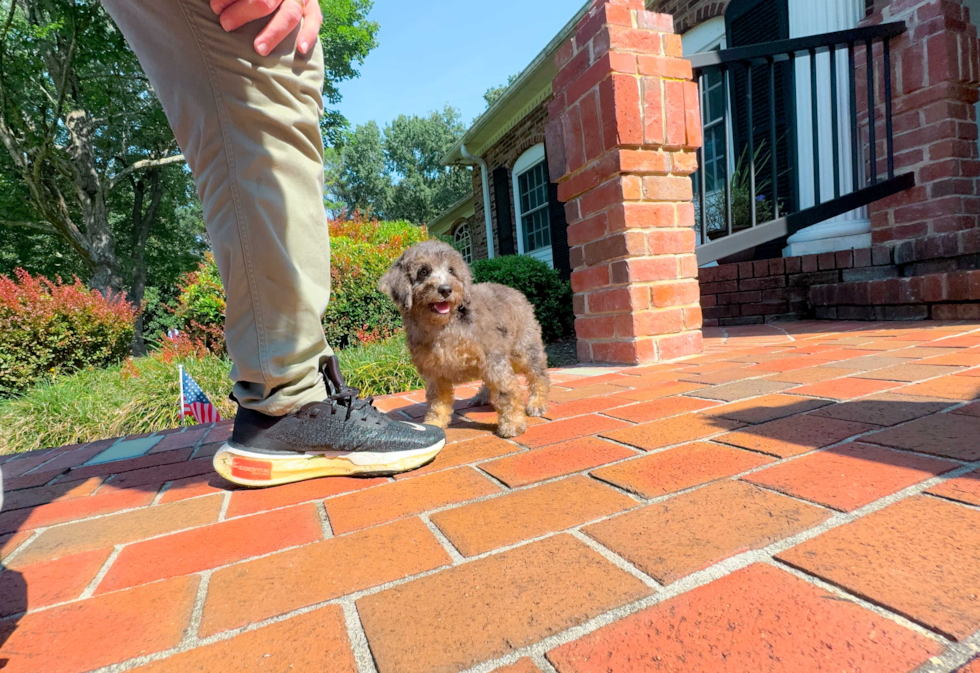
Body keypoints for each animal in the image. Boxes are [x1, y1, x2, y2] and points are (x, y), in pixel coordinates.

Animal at [378, 239, 552, 438]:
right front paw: (434, 423)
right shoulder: (434, 371)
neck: (444, 327)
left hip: (524, 348)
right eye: (423, 271)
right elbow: (437, 401)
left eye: (451, 270)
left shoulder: (492, 358)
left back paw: (537, 403)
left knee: (539, 375)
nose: (446, 289)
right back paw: (482, 396)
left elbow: (505, 391)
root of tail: (515, 291)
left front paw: (512, 423)